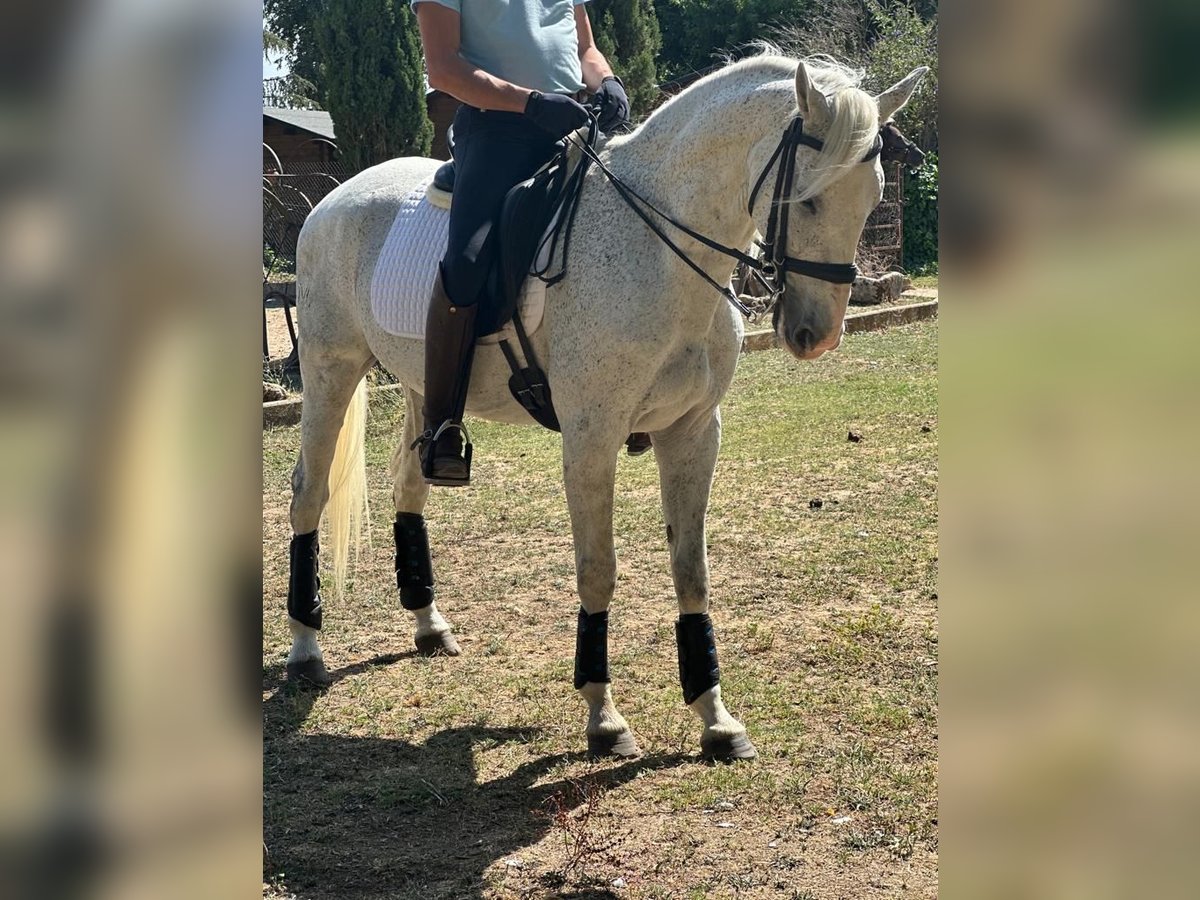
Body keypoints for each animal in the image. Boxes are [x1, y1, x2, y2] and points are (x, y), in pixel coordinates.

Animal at [283, 52, 926, 763]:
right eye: (805, 197)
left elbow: (692, 571)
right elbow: (598, 571)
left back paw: (428, 624)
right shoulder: (591, 439)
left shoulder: (694, 432)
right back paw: (305, 650)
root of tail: (333, 199)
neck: (659, 251)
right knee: (309, 492)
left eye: (872, 197)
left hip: (427, 389)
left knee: (410, 485)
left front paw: (715, 717)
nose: (816, 334)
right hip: (332, 371)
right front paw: (604, 715)